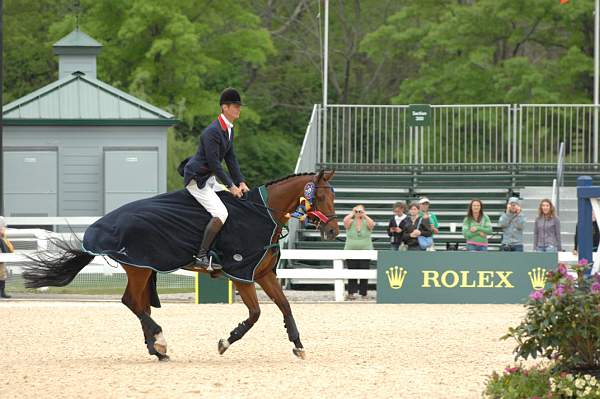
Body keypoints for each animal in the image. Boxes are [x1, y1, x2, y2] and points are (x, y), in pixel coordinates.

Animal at [21, 171, 338, 362]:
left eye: (333, 196)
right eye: (322, 196)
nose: (333, 231)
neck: (262, 214)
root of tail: (99, 228)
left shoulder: (261, 273)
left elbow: (285, 306)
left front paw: (298, 345)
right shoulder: (241, 274)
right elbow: (256, 314)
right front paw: (226, 341)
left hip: (143, 267)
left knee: (140, 304)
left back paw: (157, 350)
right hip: (139, 267)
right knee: (131, 302)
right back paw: (160, 341)